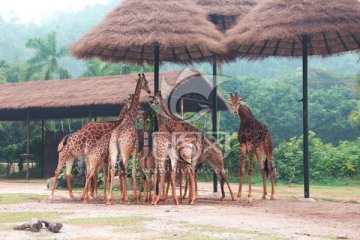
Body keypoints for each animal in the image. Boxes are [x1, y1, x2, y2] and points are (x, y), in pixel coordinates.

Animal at [107, 73, 152, 204]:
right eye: (146, 82)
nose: (149, 90)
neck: (129, 117)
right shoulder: (134, 149)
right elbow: (133, 171)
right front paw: (135, 197)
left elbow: (122, 171)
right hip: (125, 152)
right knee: (126, 169)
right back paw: (129, 198)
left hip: (113, 151)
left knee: (113, 170)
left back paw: (110, 199)